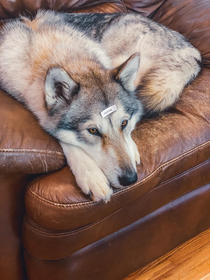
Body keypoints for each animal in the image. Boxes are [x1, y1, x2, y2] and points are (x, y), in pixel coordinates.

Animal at [0, 10, 202, 201]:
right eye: (93, 131)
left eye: (123, 123)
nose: (130, 179)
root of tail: (194, 52)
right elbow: (64, 139)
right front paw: (91, 176)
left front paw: (131, 147)